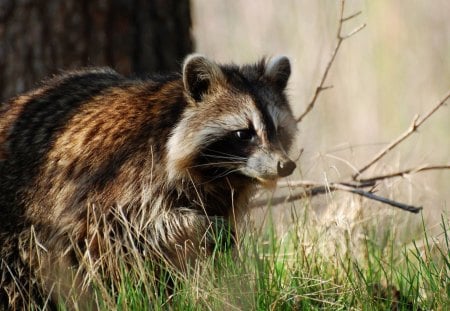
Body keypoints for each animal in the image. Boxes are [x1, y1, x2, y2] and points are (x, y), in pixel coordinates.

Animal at [0, 53, 298, 308]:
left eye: (278, 130)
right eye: (243, 134)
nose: (285, 166)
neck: (219, 174)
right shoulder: (121, 178)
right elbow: (127, 229)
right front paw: (200, 225)